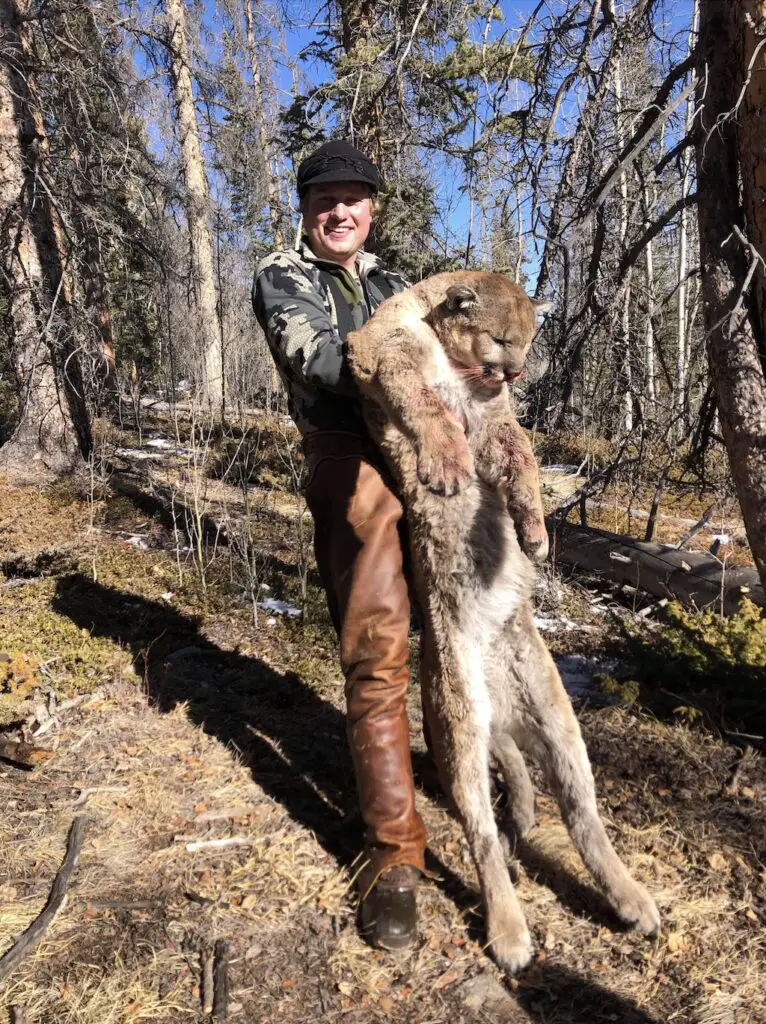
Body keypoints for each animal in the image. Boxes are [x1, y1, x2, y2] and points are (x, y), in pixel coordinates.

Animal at [346, 272, 659, 974]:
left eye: (528, 341)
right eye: (500, 338)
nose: (514, 373)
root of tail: (500, 704)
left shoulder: (496, 420)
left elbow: (522, 456)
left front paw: (536, 533)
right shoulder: (377, 349)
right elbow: (423, 399)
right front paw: (445, 464)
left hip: (559, 720)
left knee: (583, 815)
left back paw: (631, 899)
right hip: (458, 725)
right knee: (484, 837)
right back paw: (511, 932)